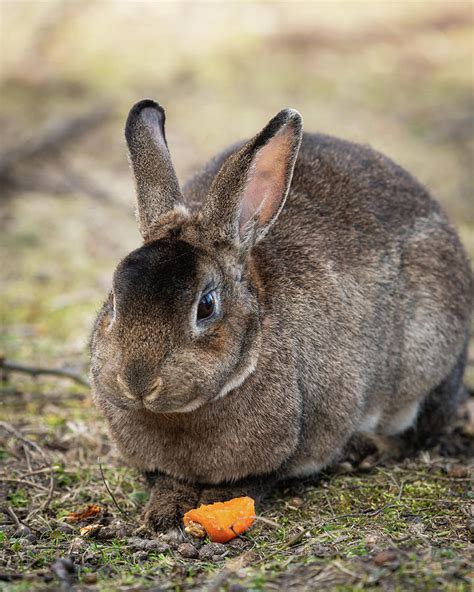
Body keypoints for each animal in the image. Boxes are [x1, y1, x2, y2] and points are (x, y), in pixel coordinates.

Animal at [90, 98, 474, 532]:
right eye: (114, 301)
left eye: (206, 306)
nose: (138, 381)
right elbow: (167, 482)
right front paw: (162, 513)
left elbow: (257, 480)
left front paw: (215, 504)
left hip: (427, 360)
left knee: (421, 430)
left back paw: (368, 449)